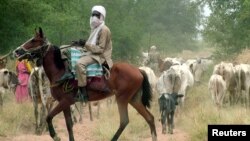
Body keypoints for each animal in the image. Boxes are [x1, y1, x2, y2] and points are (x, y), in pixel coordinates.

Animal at [13, 27, 156, 141]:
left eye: (34, 40)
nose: (17, 51)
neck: (60, 71)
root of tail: (138, 70)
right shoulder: (65, 103)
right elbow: (68, 125)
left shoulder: (65, 101)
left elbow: (49, 117)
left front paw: (55, 136)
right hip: (134, 99)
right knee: (150, 118)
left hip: (122, 98)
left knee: (124, 121)